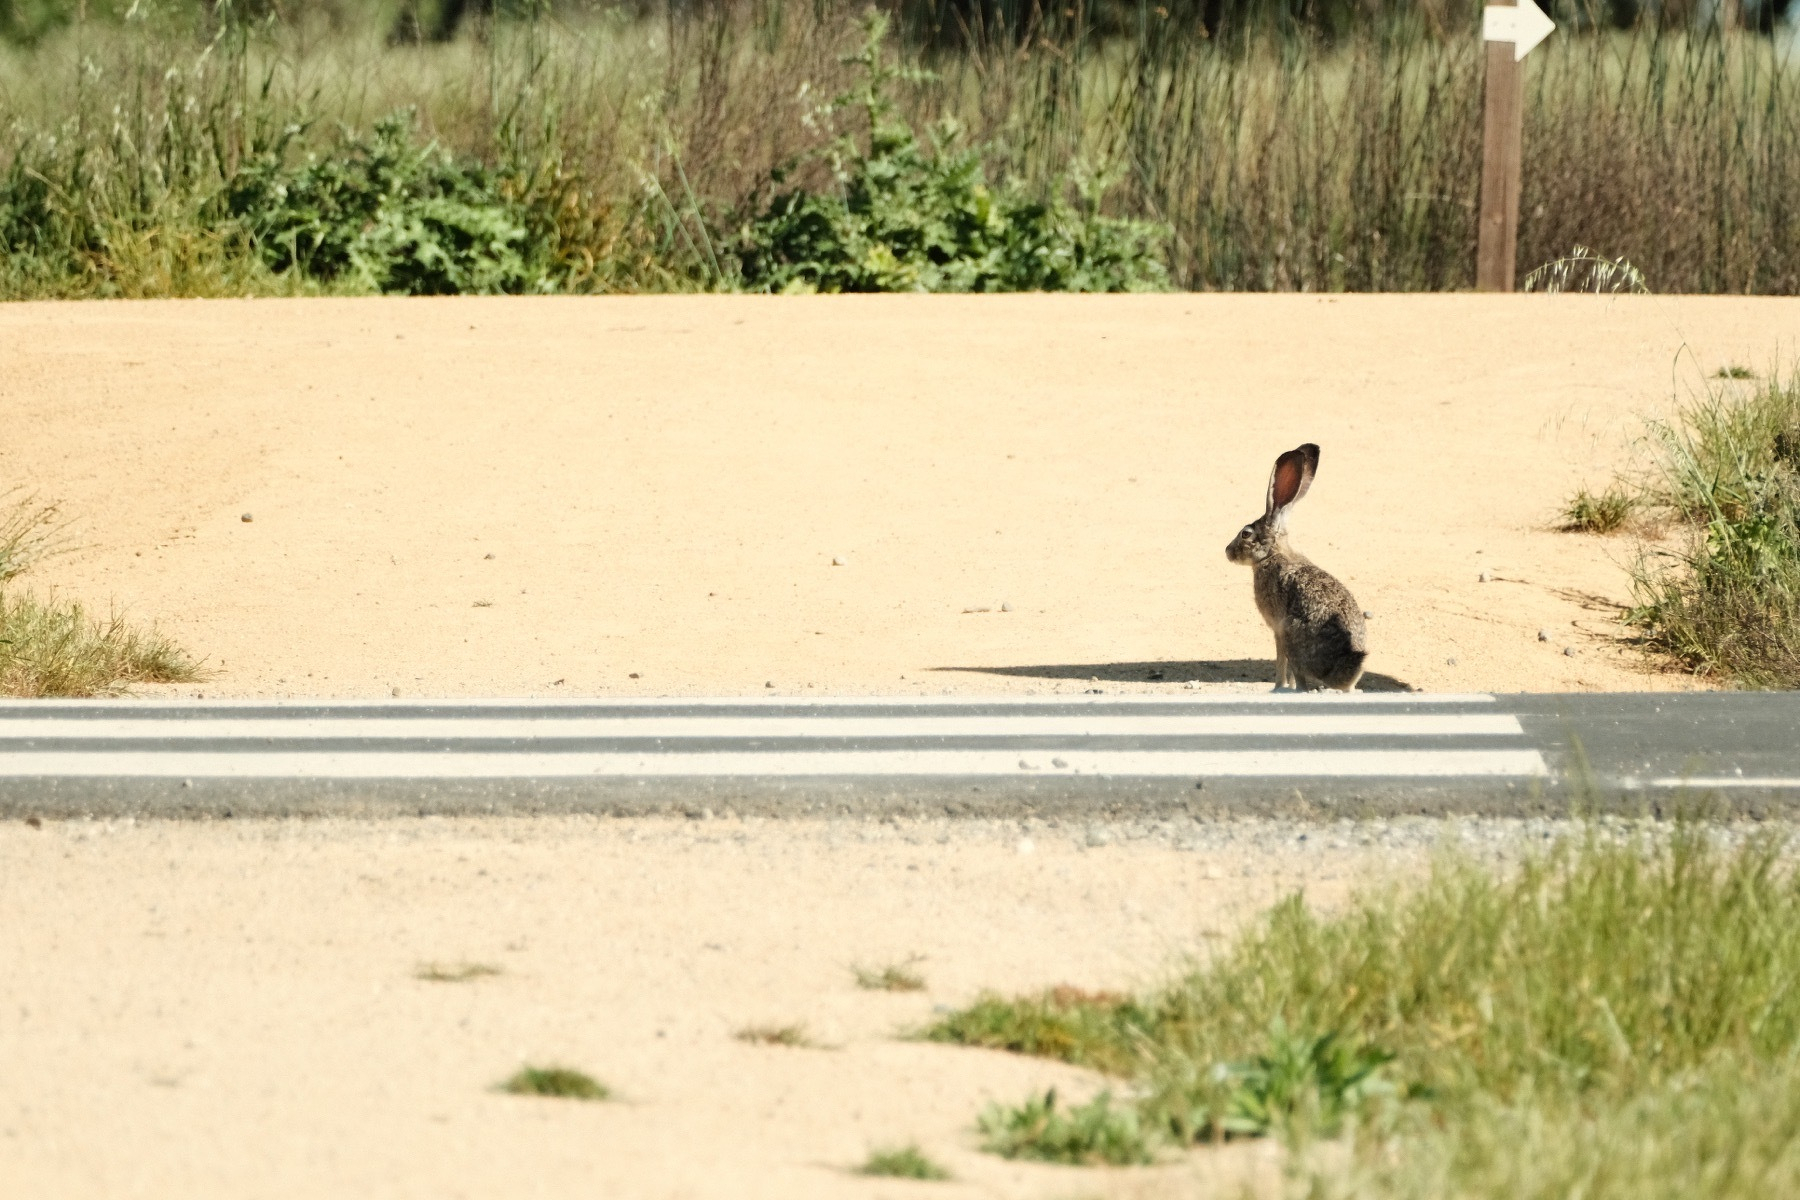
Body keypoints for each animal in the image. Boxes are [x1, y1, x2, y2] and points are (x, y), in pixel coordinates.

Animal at [1225, 444, 1367, 692]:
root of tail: (1344, 674)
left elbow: (1281, 663)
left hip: (1293, 633)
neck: (1272, 554)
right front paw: (1285, 687)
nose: (1227, 551)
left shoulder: (1278, 629)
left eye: (1245, 534)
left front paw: (1278, 687)